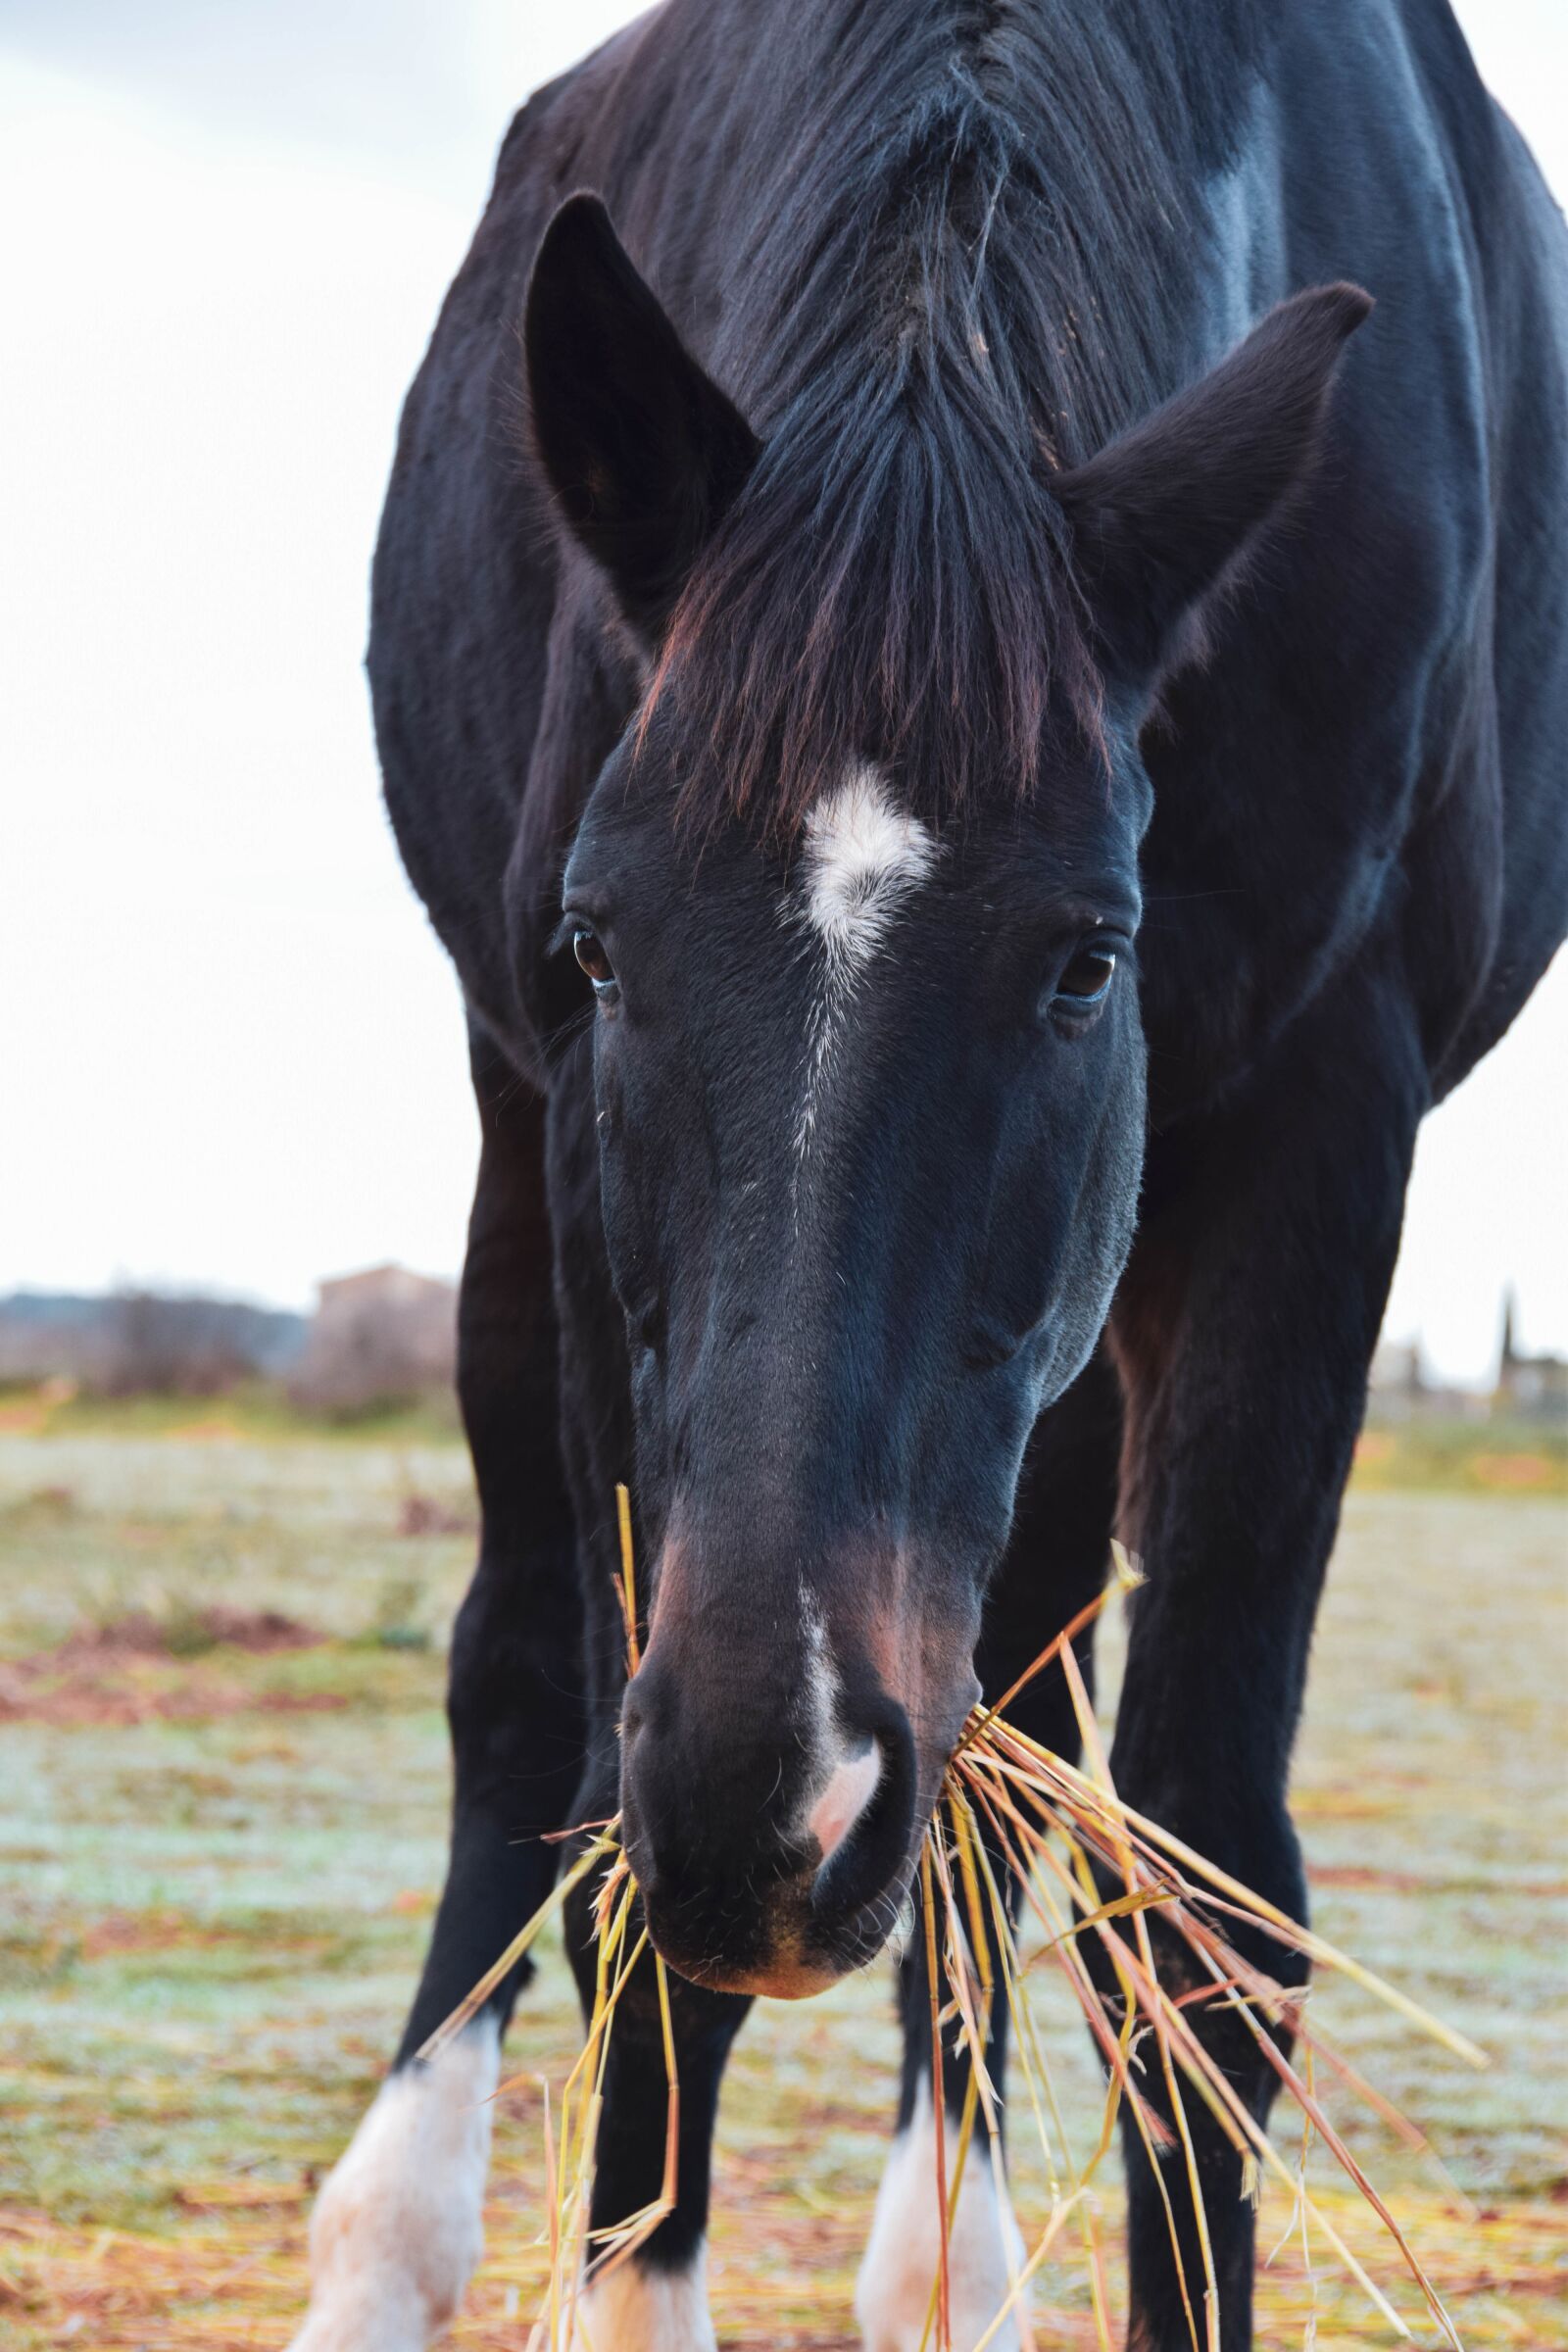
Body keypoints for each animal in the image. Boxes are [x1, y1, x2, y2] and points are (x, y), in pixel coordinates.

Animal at [285, 2, 1567, 2345]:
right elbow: (626, 1883)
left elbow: (1196, 1907)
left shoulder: (1316, 1128)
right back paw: (389, 2240)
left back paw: (942, 2257)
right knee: (517, 1688)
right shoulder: (577, 1155)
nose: (786, 1793)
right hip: (518, 1165)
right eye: (602, 944)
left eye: (1086, 956)